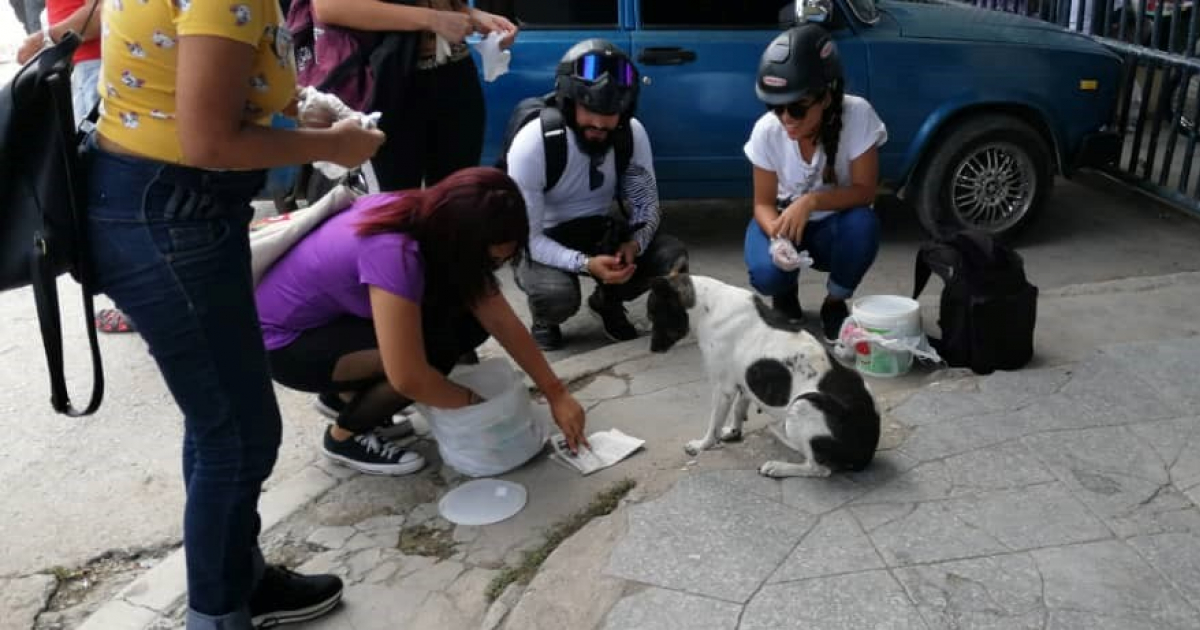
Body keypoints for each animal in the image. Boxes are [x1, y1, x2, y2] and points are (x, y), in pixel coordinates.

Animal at [648, 266, 883, 477]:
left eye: (654, 315)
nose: (652, 349)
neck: (709, 305)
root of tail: (866, 453)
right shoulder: (743, 382)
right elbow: (738, 409)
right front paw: (733, 432)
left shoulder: (723, 388)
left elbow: (714, 423)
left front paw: (702, 445)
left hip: (804, 404)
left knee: (818, 469)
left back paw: (778, 467)